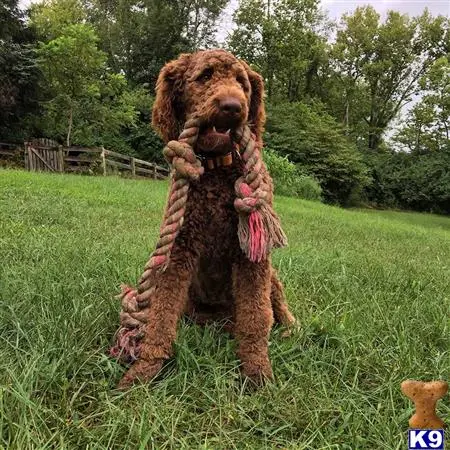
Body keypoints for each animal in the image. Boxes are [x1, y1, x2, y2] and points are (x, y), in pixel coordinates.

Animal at [119, 48, 296, 386]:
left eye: (242, 83)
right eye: (204, 76)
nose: (233, 107)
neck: (216, 169)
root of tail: (216, 322)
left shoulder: (252, 259)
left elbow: (256, 317)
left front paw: (257, 371)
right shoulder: (179, 250)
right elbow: (161, 316)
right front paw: (144, 370)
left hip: (272, 276)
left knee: (276, 307)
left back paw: (290, 328)